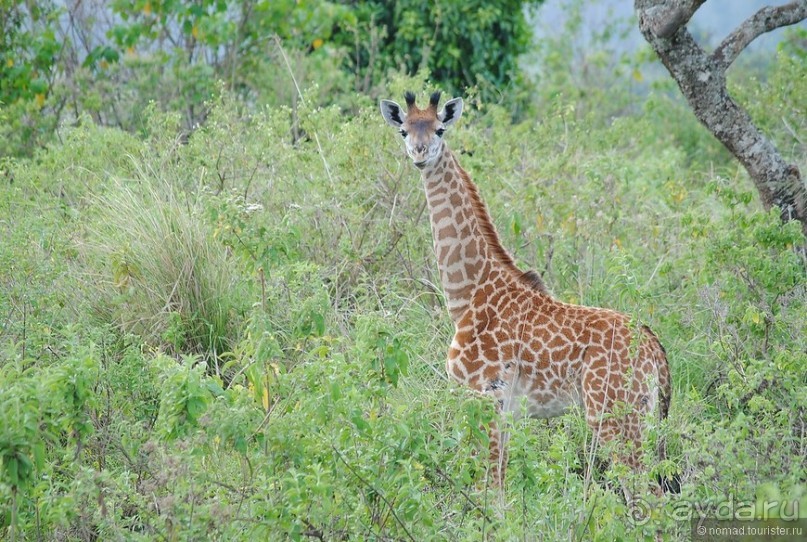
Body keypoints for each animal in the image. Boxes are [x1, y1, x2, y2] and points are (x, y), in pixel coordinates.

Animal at [382, 92, 672, 492]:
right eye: (404, 130)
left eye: (439, 128)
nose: (420, 153)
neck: (467, 294)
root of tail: (655, 351)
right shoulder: (505, 409)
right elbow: (501, 483)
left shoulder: (485, 394)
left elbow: (489, 484)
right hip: (642, 415)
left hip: (612, 412)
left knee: (644, 492)